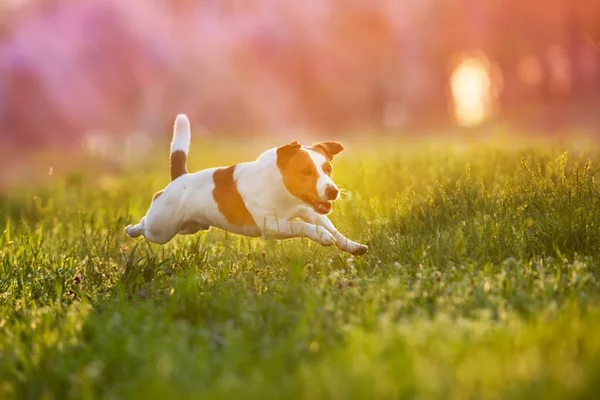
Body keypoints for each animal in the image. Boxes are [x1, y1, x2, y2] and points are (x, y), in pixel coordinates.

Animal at [125, 114, 368, 255]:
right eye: (306, 171)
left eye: (328, 168)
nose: (333, 191)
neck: (281, 189)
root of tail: (180, 178)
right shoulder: (272, 227)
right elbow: (303, 227)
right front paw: (323, 237)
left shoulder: (309, 211)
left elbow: (331, 228)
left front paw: (351, 246)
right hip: (160, 229)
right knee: (145, 225)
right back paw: (131, 229)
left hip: (190, 227)